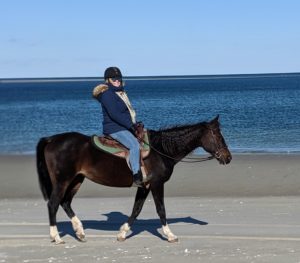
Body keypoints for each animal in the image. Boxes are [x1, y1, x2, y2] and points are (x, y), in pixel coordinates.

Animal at [36, 116, 231, 244]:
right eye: (217, 136)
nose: (228, 157)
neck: (161, 150)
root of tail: (51, 139)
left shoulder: (144, 186)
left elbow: (136, 209)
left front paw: (122, 233)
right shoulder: (157, 184)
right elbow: (161, 210)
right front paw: (169, 235)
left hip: (77, 180)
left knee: (65, 203)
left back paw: (80, 232)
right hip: (63, 181)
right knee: (53, 204)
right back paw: (56, 237)